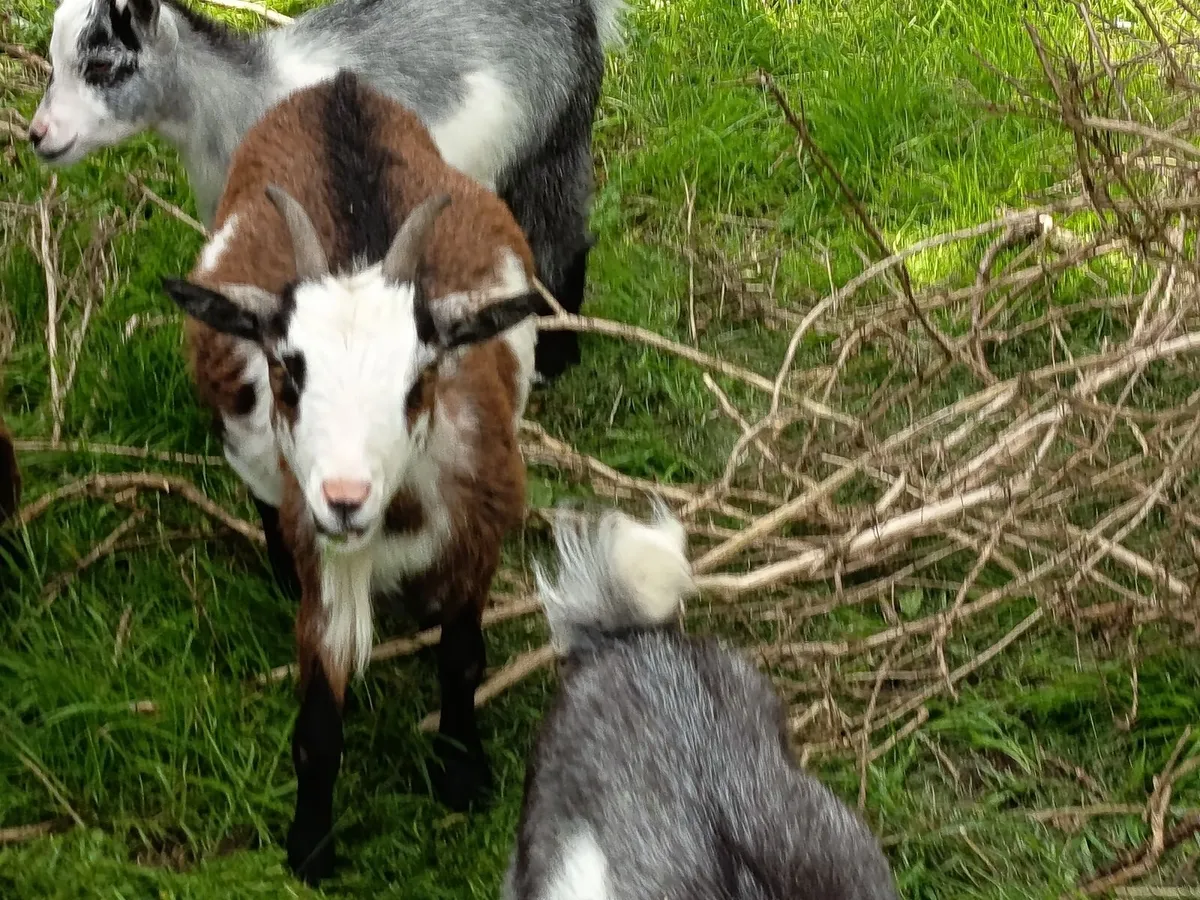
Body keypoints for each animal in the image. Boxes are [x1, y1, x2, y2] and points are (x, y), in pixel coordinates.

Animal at [31, 0, 626, 381]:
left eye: (102, 65)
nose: (39, 135)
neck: (244, 99)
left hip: (554, 137)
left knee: (562, 238)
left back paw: (554, 356)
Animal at [161, 70, 541, 885]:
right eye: (287, 372)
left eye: (419, 379)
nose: (343, 499)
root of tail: (338, 89)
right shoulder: (326, 562)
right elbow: (317, 721)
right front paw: (310, 847)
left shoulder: (481, 531)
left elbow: (463, 661)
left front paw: (463, 774)